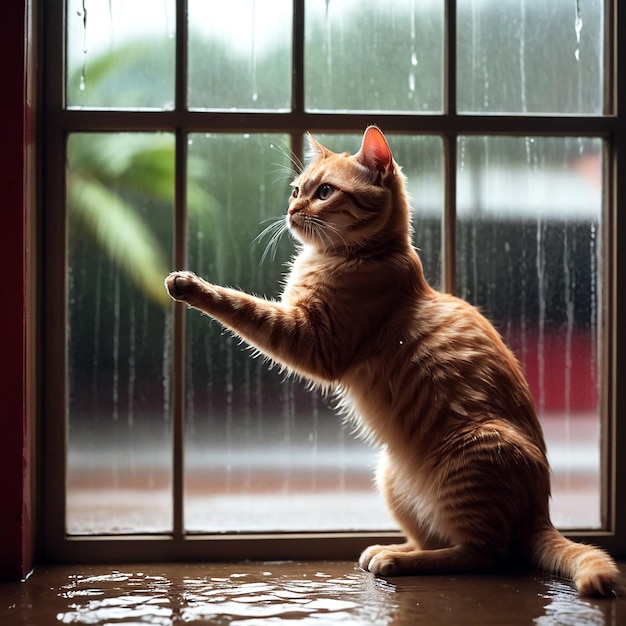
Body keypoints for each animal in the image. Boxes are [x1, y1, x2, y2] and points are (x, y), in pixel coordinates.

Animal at [166, 125, 620, 596]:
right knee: (437, 538)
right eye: (296, 190)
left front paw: (192, 286)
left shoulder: (312, 341)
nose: (291, 209)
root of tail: (540, 514)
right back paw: (392, 550)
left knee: (484, 554)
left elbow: (243, 307)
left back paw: (397, 561)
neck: (365, 256)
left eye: (324, 192)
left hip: (472, 459)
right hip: (391, 476)